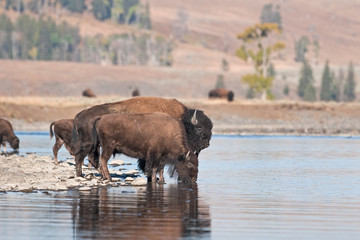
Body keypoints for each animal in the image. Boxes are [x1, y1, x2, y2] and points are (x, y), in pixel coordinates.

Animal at [71, 96, 212, 178]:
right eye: (199, 128)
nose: (207, 144)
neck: (182, 119)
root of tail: (79, 115)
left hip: (94, 146)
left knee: (91, 159)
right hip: (89, 144)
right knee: (81, 157)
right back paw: (82, 175)